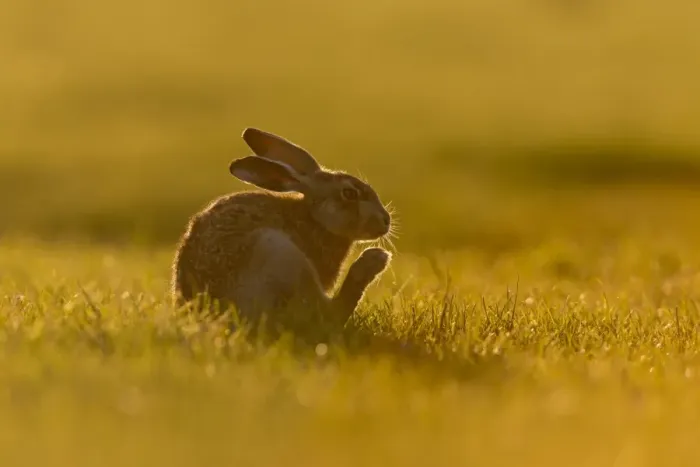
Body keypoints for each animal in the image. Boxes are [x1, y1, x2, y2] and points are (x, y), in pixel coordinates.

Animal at [171, 127, 395, 331]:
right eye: (349, 193)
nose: (386, 221)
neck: (314, 219)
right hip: (279, 254)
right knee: (326, 314)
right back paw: (375, 259)